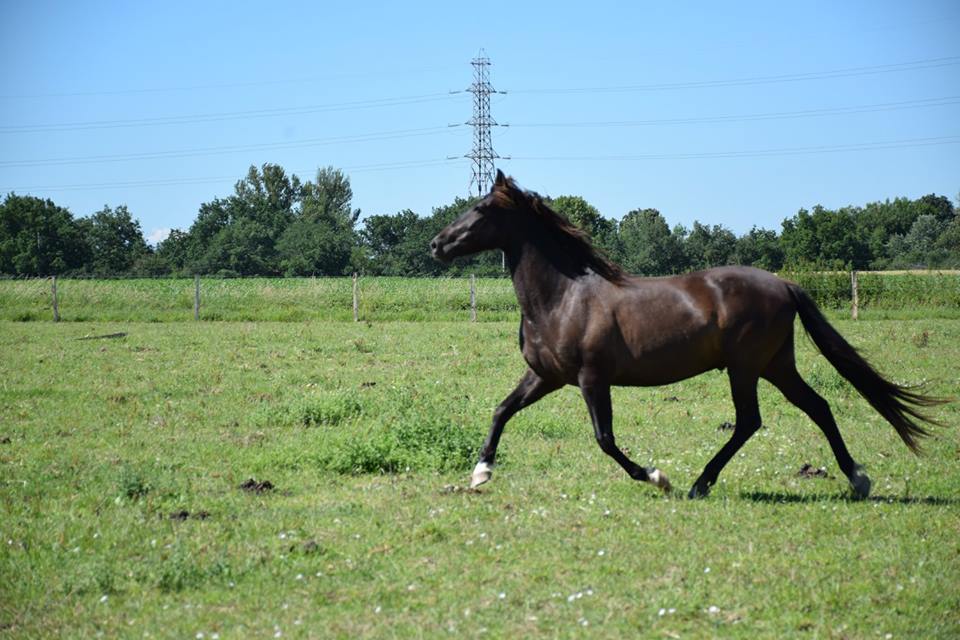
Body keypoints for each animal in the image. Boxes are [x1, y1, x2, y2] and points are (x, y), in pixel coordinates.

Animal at [432, 171, 940, 500]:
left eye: (481, 208)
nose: (436, 244)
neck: (563, 297)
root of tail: (784, 284)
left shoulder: (592, 379)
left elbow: (605, 439)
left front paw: (658, 477)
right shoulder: (546, 376)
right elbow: (502, 410)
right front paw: (480, 473)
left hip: (745, 367)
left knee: (750, 421)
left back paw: (700, 483)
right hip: (776, 365)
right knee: (817, 406)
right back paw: (857, 479)